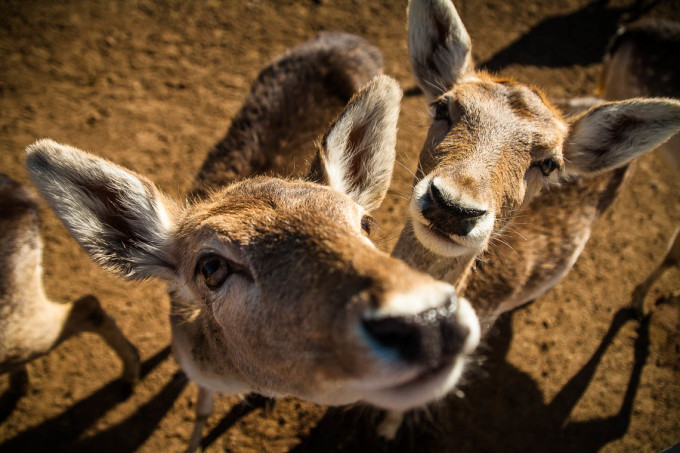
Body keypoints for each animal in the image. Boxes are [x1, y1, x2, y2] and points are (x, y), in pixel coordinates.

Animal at [23, 32, 480, 452]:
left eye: (366, 223)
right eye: (210, 267)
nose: (428, 320)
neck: (235, 375)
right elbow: (202, 408)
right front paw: (193, 442)